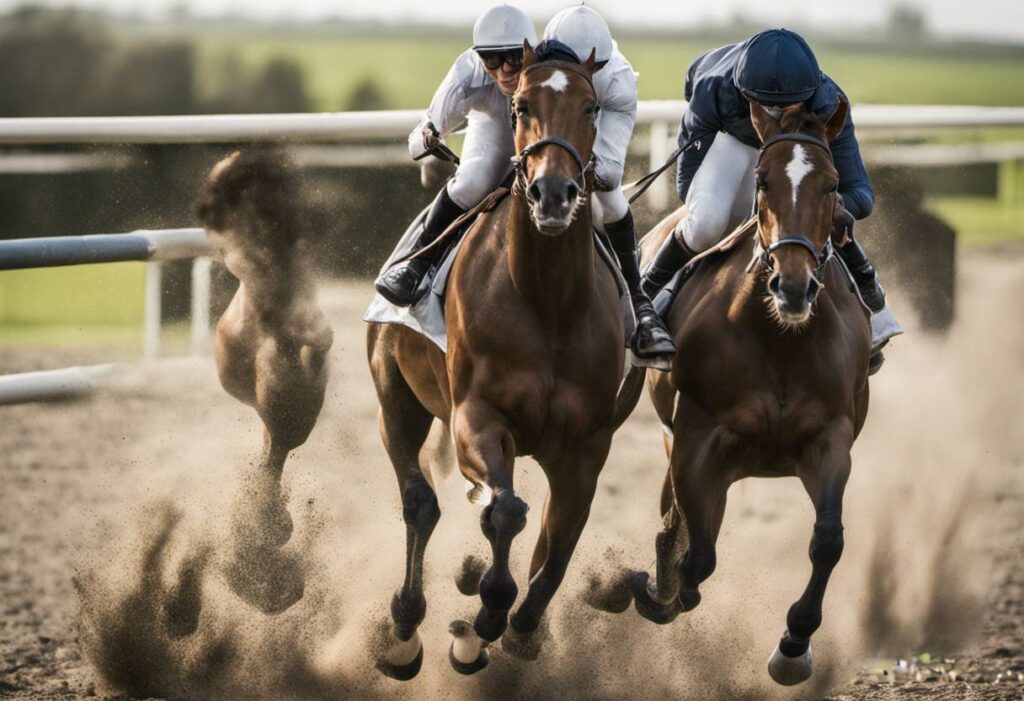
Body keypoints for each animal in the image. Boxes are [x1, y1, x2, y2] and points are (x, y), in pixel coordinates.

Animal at [366, 43, 638, 679]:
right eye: (520, 107)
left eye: (591, 107)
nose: (553, 193)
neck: (548, 301)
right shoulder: (477, 418)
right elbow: (507, 512)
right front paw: (487, 611)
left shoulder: (586, 447)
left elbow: (560, 542)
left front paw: (520, 626)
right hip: (396, 398)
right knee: (419, 503)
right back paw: (407, 628)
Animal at [593, 98, 872, 683]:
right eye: (763, 182)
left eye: (833, 184)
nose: (793, 285)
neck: (781, 341)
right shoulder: (700, 438)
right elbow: (696, 554)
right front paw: (655, 590)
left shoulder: (830, 437)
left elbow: (828, 541)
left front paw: (794, 645)